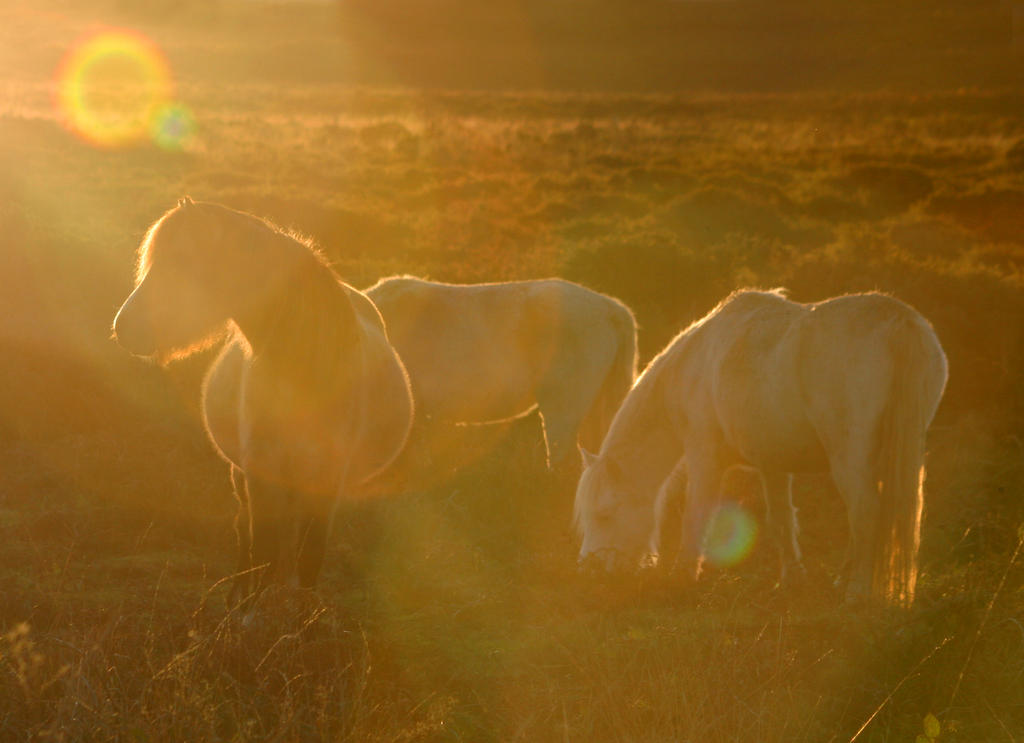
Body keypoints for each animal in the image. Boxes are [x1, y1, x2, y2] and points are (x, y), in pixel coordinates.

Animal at [113, 197, 414, 601]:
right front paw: (249, 611)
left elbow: (310, 557)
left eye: (183, 261)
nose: (123, 326)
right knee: (246, 534)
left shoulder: (325, 485)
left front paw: (303, 615)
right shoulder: (260, 476)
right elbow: (263, 549)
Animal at [574, 289, 948, 605]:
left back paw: (855, 592)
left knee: (866, 513)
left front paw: (681, 576)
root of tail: (900, 322)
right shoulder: (773, 465)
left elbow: (696, 515)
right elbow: (782, 520)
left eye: (605, 513)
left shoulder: (704, 458)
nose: (590, 571)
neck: (695, 365)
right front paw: (791, 580)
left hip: (851, 459)